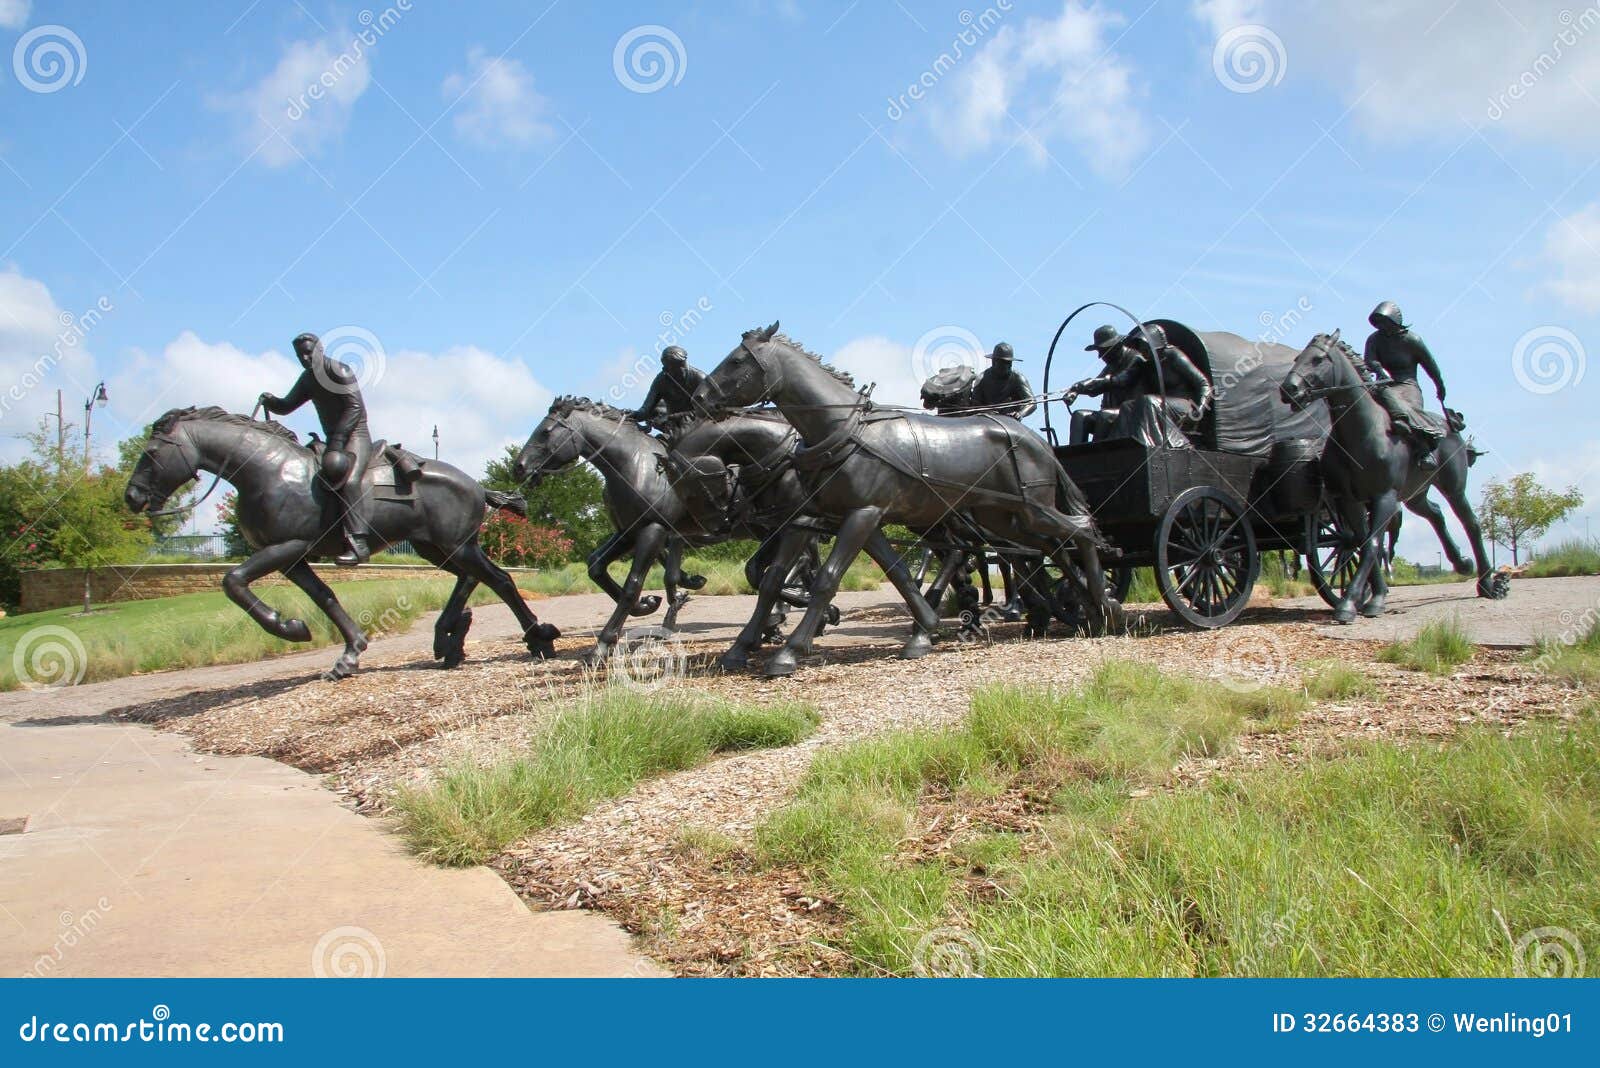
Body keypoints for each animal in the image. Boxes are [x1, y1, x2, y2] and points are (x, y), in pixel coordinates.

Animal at [1280, 329, 1504, 620]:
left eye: (1318, 359)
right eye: (1297, 358)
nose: (1289, 389)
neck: (1361, 432)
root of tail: (1451, 425)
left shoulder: (1384, 496)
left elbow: (1372, 543)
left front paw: (1355, 601)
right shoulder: (1349, 500)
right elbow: (1364, 542)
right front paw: (1372, 596)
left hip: (1452, 488)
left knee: (1471, 523)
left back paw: (1486, 582)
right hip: (1415, 495)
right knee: (1435, 514)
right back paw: (1462, 563)